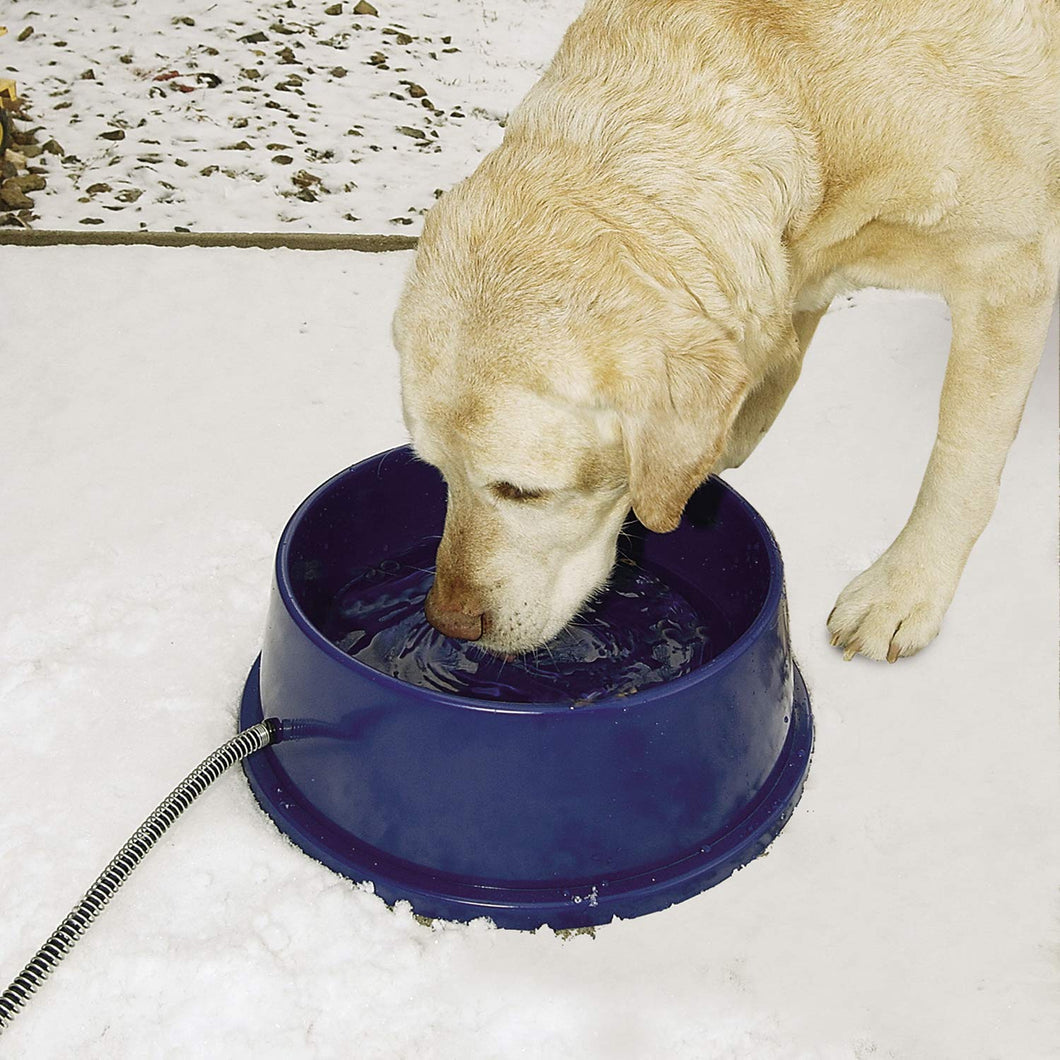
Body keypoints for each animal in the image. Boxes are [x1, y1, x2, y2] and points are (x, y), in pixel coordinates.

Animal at [392, 0, 1060, 661]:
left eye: (522, 491)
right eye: (437, 471)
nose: (449, 622)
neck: (800, 91)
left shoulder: (1006, 273)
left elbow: (959, 465)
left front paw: (903, 592)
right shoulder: (793, 269)